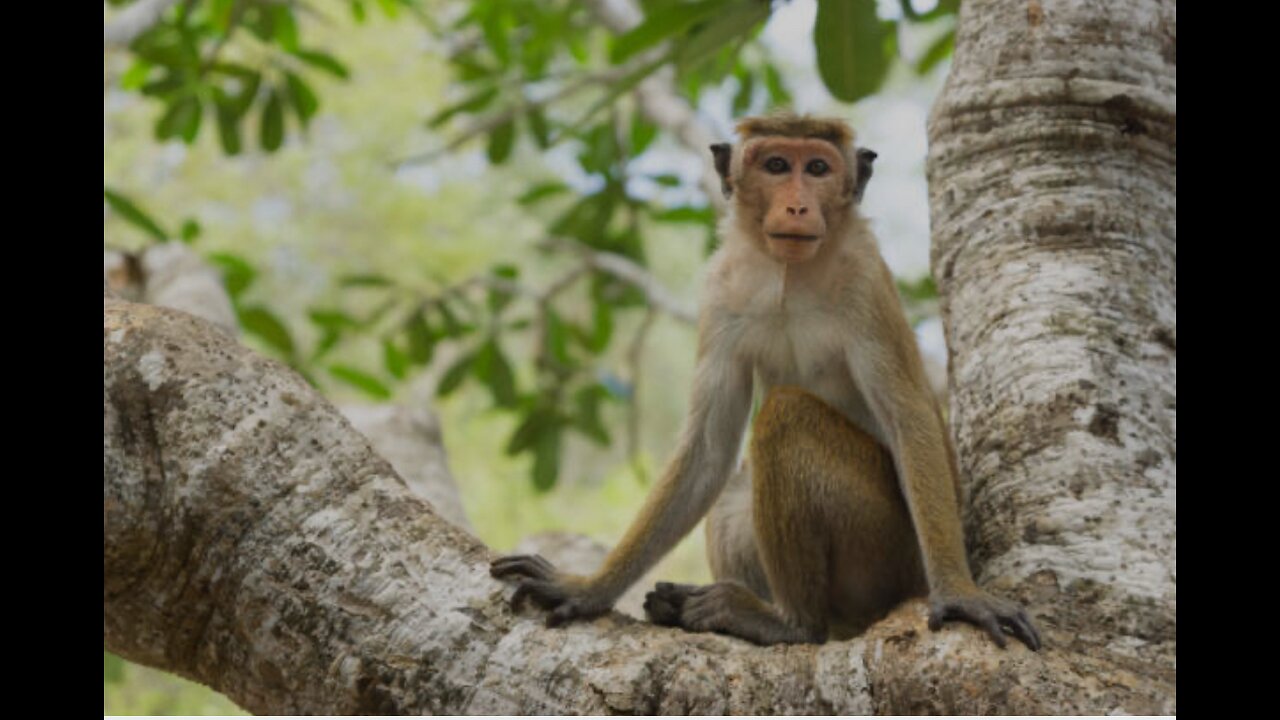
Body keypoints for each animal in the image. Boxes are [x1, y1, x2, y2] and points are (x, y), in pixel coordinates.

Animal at [488, 112, 1039, 650]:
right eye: (776, 165)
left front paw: (961, 595)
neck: (788, 278)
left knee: (787, 414)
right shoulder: (719, 291)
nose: (796, 205)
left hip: (890, 551)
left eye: (817, 168)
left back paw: (789, 623)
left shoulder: (864, 279)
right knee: (735, 486)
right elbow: (708, 449)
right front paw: (588, 588)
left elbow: (909, 420)